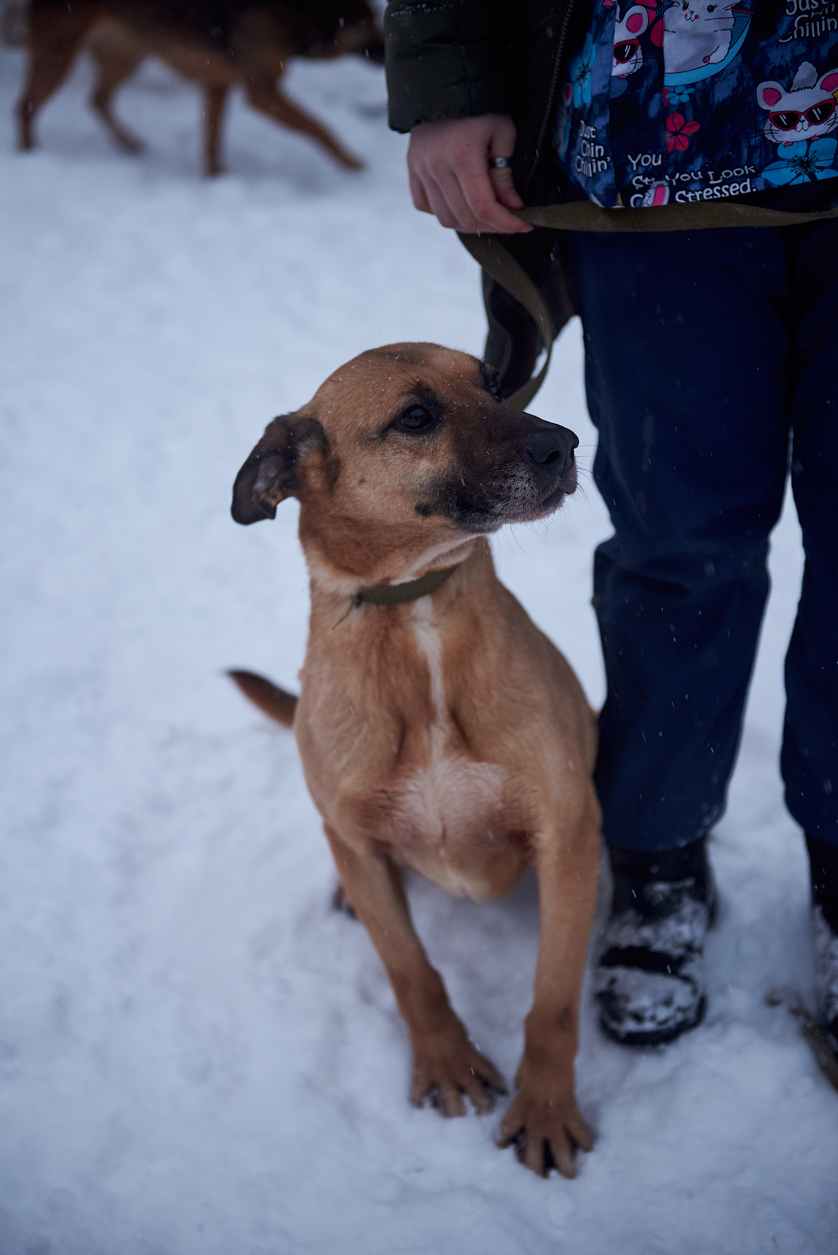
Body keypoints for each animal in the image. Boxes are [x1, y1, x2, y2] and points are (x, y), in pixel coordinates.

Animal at [225, 343, 599, 1174]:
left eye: (492, 382)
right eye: (416, 416)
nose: (563, 444)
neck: (413, 609)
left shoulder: (566, 835)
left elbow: (555, 998)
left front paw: (545, 1107)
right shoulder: (358, 840)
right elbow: (409, 968)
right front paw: (448, 1062)